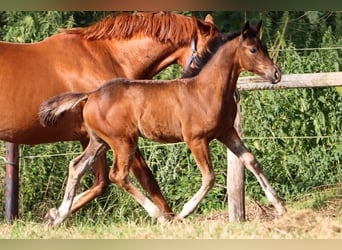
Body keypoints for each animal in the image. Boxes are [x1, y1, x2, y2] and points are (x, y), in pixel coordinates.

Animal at [0, 12, 218, 219]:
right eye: (211, 49)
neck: (107, 57)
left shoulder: (93, 138)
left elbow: (99, 183)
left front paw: (54, 215)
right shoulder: (121, 138)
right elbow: (147, 180)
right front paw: (170, 218)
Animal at [39, 21, 286, 227]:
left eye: (264, 47)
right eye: (253, 50)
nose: (276, 74)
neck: (205, 90)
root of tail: (91, 94)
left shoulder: (226, 132)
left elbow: (251, 161)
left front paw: (280, 206)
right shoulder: (196, 139)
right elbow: (209, 177)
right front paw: (183, 213)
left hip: (100, 141)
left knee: (77, 166)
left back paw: (57, 216)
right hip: (123, 142)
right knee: (117, 175)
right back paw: (160, 216)